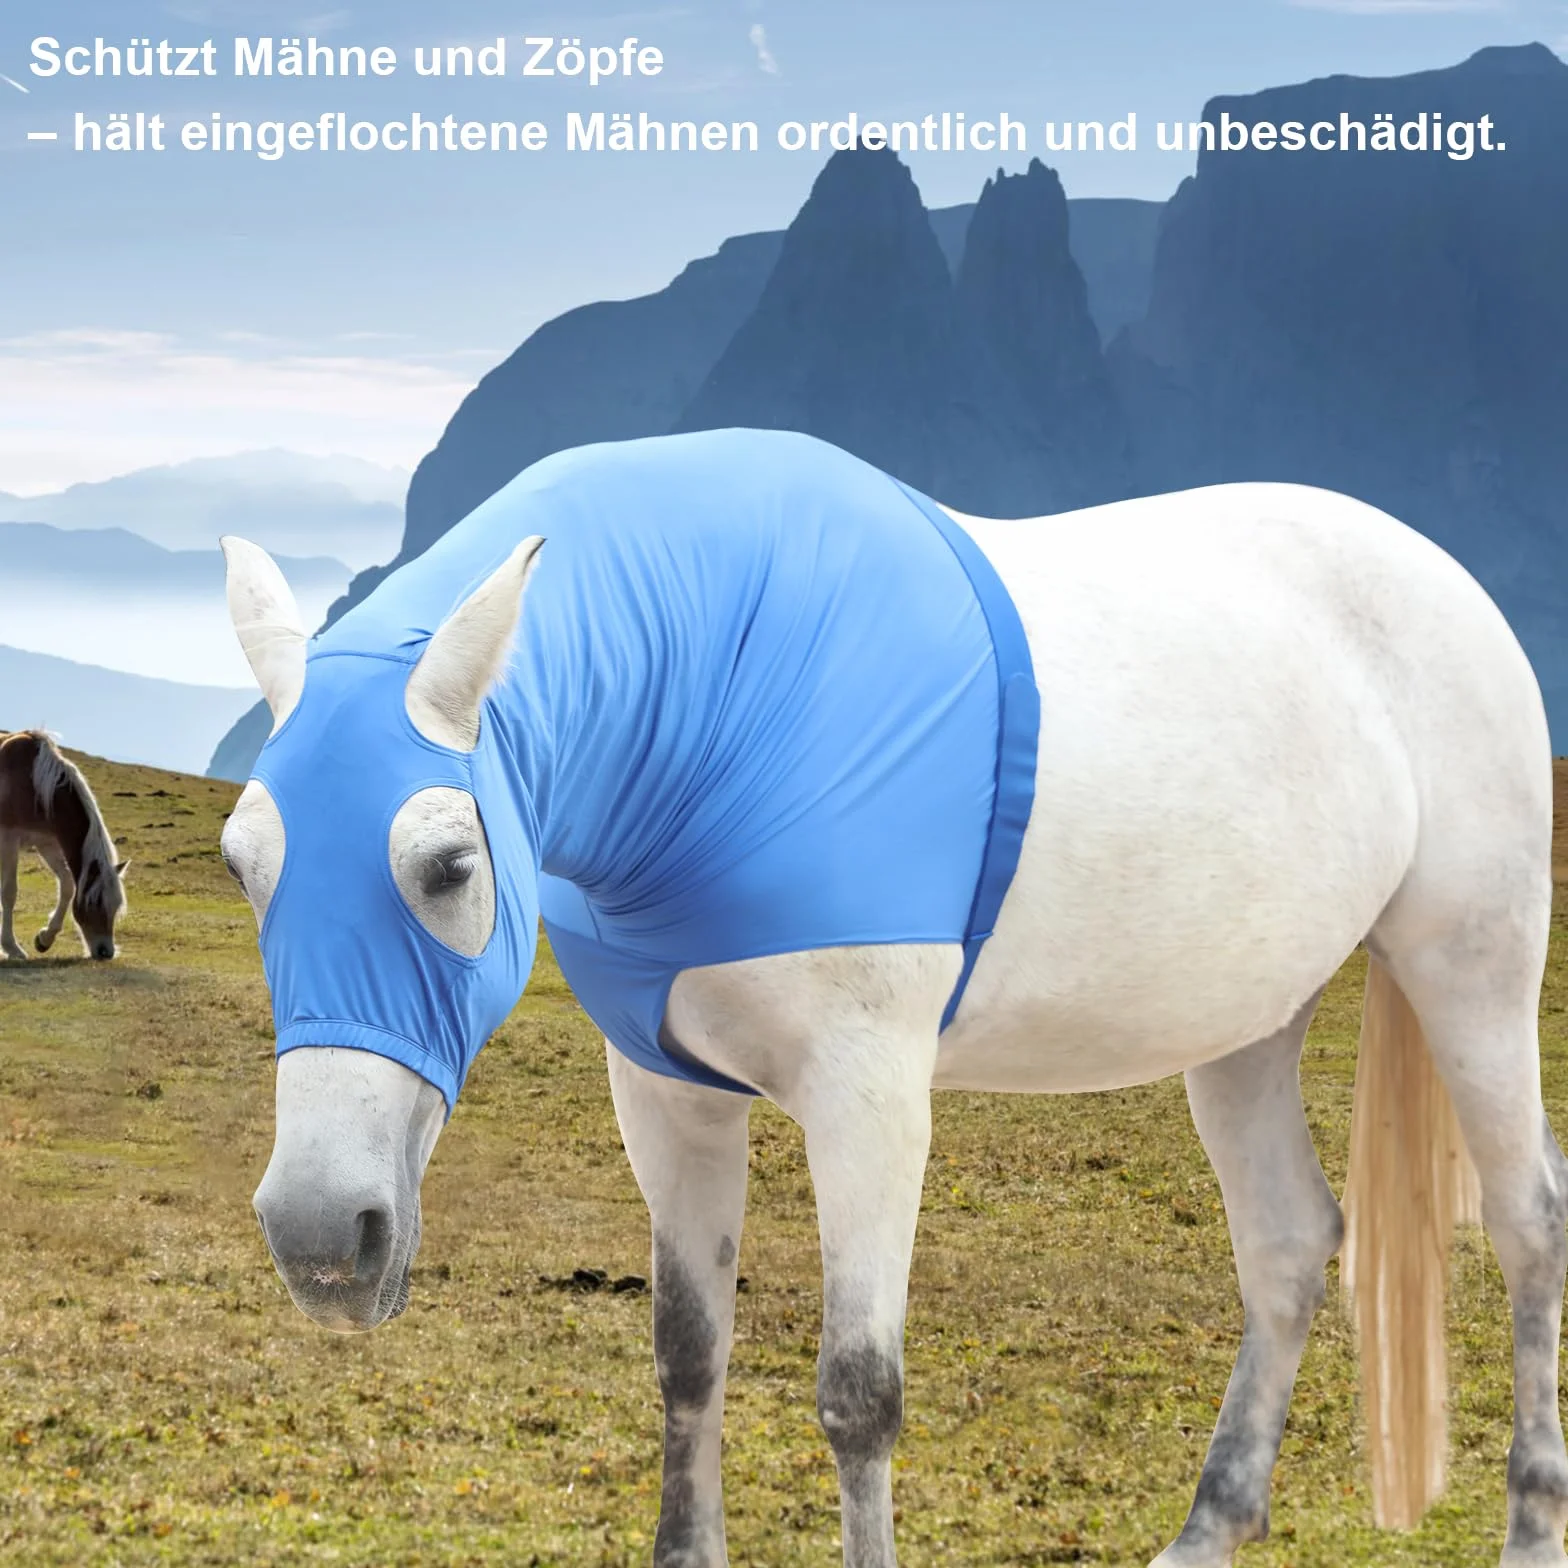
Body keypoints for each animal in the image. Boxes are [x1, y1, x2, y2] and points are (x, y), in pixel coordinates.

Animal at [0, 729, 129, 962]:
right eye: (94, 902)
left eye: (116, 905)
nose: (105, 952)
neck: (32, 781)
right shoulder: (9, 840)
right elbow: (9, 892)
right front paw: (11, 947)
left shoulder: (46, 844)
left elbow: (68, 885)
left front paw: (45, 938)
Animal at [219, 429, 1567, 1568]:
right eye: (243, 861)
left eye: (448, 864)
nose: (321, 1234)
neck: (727, 695)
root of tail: (1440, 576)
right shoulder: (664, 1094)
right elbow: (687, 1354)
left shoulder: (867, 1099)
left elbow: (858, 1390)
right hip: (1244, 1017)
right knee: (1288, 1243)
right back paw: (1204, 1529)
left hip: (1471, 966)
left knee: (1527, 1221)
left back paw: (1527, 1526)